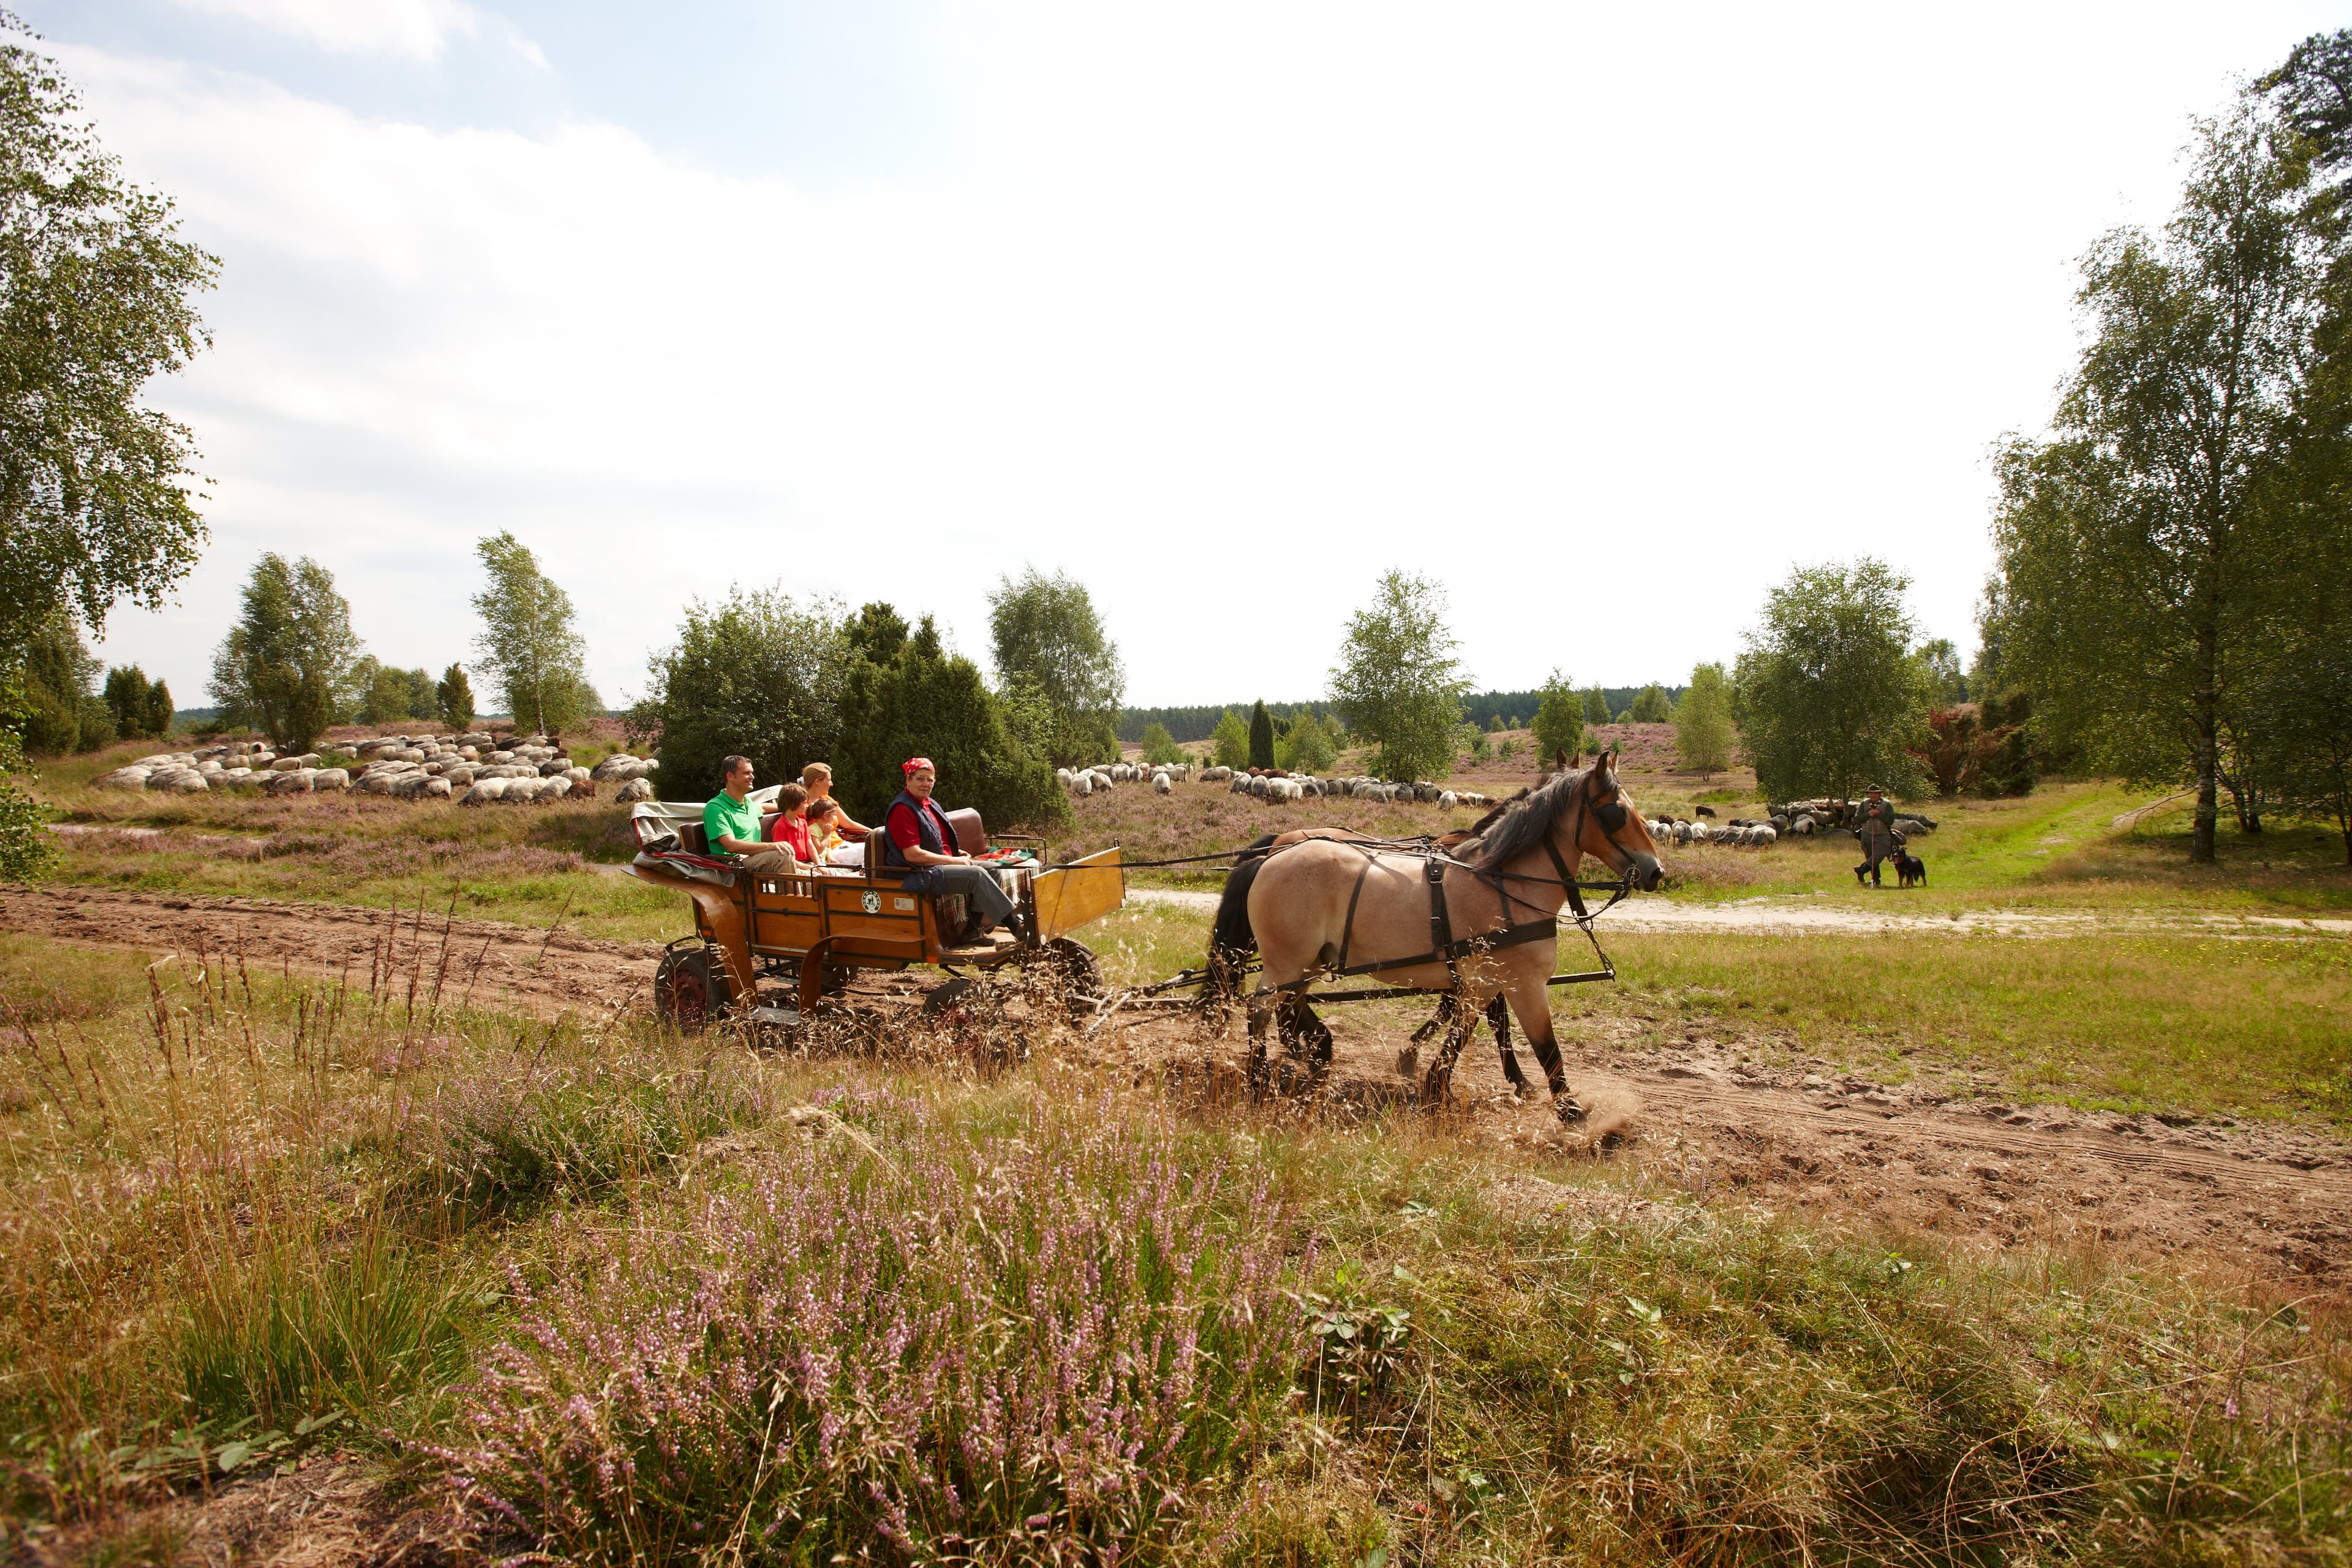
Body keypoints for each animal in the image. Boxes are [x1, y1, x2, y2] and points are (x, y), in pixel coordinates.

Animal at [1223, 756, 1665, 1114]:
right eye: (1617, 812)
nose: (1656, 871)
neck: (1506, 884)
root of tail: (1271, 857)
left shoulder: (1481, 983)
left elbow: (1466, 1031)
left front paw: (1434, 1081)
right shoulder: (1522, 983)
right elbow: (1544, 1048)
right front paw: (1569, 1111)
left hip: (1308, 962)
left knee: (1287, 1006)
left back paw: (1315, 1050)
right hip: (1286, 962)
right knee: (1259, 1010)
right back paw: (1260, 1079)